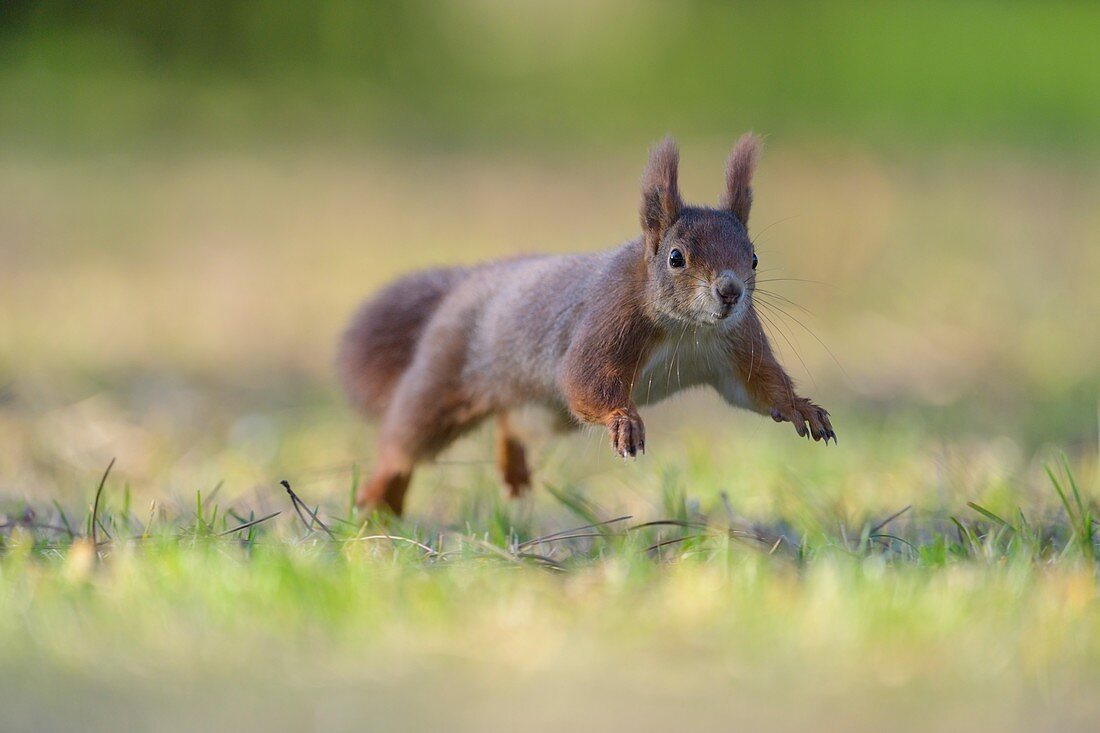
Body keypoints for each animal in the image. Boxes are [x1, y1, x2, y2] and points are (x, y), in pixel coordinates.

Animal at [334, 135, 831, 512]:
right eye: (676, 258)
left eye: (754, 257)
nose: (730, 292)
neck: (688, 329)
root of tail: (470, 281)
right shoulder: (608, 320)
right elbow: (583, 378)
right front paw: (623, 419)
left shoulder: (733, 345)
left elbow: (756, 387)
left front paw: (802, 406)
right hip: (445, 375)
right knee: (404, 441)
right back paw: (377, 498)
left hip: (547, 412)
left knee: (510, 423)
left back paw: (513, 472)